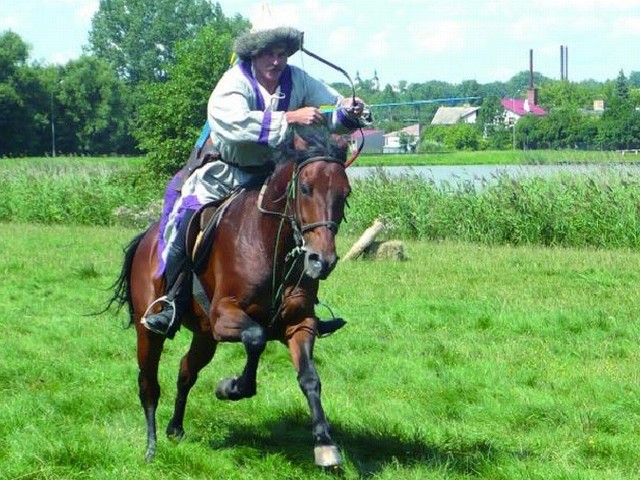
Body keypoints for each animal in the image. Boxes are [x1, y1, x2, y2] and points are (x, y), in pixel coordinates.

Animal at [108, 129, 352, 466]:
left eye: (346, 194)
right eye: (305, 188)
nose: (321, 261)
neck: (269, 243)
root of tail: (146, 238)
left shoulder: (300, 323)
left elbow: (309, 378)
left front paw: (325, 444)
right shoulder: (225, 317)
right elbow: (256, 337)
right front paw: (230, 387)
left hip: (204, 336)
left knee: (186, 372)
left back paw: (175, 428)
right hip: (150, 333)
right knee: (148, 385)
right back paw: (151, 447)